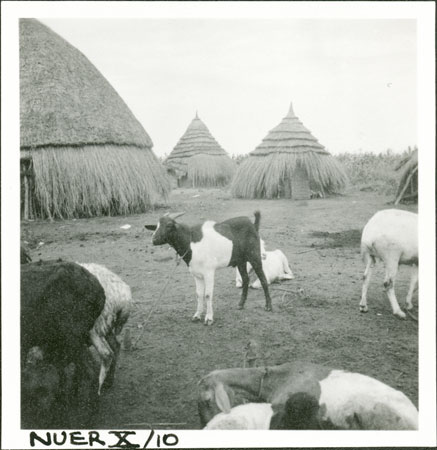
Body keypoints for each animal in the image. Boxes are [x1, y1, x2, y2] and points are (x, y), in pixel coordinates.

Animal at [77, 262, 131, 396]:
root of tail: (124, 295)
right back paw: (108, 381)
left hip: (94, 326)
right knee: (115, 346)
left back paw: (98, 387)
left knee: (106, 353)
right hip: (106, 323)